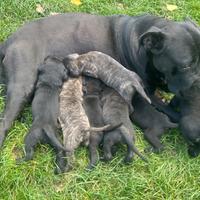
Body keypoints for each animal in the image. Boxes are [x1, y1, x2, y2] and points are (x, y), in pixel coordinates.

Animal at [0, 12, 200, 148]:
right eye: (186, 66)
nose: (198, 83)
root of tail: (9, 41)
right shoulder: (149, 94)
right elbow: (174, 112)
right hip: (22, 86)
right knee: (5, 121)